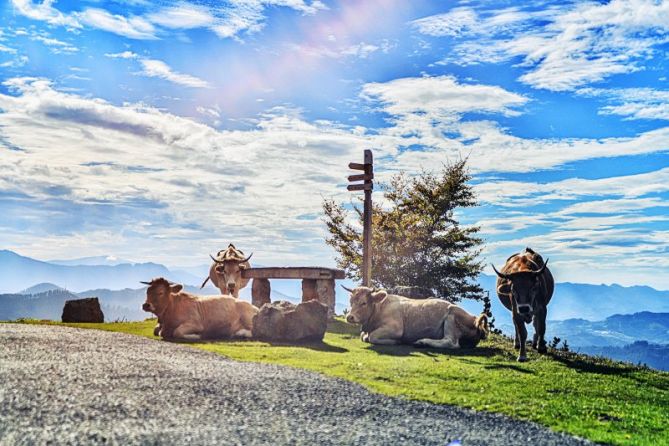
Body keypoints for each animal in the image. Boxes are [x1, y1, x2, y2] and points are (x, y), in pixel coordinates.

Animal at [342, 286, 488, 348]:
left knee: (451, 342)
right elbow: (363, 336)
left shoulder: (396, 328)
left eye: (363, 303)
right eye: (351, 302)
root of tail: (475, 320)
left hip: (451, 315)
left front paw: (397, 341)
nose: (349, 317)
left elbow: (371, 337)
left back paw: (422, 342)